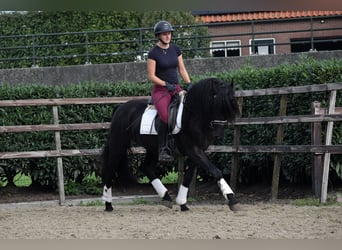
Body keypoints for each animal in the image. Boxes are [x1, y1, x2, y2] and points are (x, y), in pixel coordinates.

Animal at [101, 77, 240, 212]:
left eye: (231, 103)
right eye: (215, 100)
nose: (218, 133)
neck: (193, 116)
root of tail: (120, 108)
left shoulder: (198, 151)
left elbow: (188, 176)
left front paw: (182, 203)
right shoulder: (193, 150)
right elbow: (216, 171)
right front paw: (232, 199)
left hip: (152, 148)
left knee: (146, 167)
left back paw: (166, 197)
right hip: (118, 145)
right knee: (110, 169)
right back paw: (108, 204)